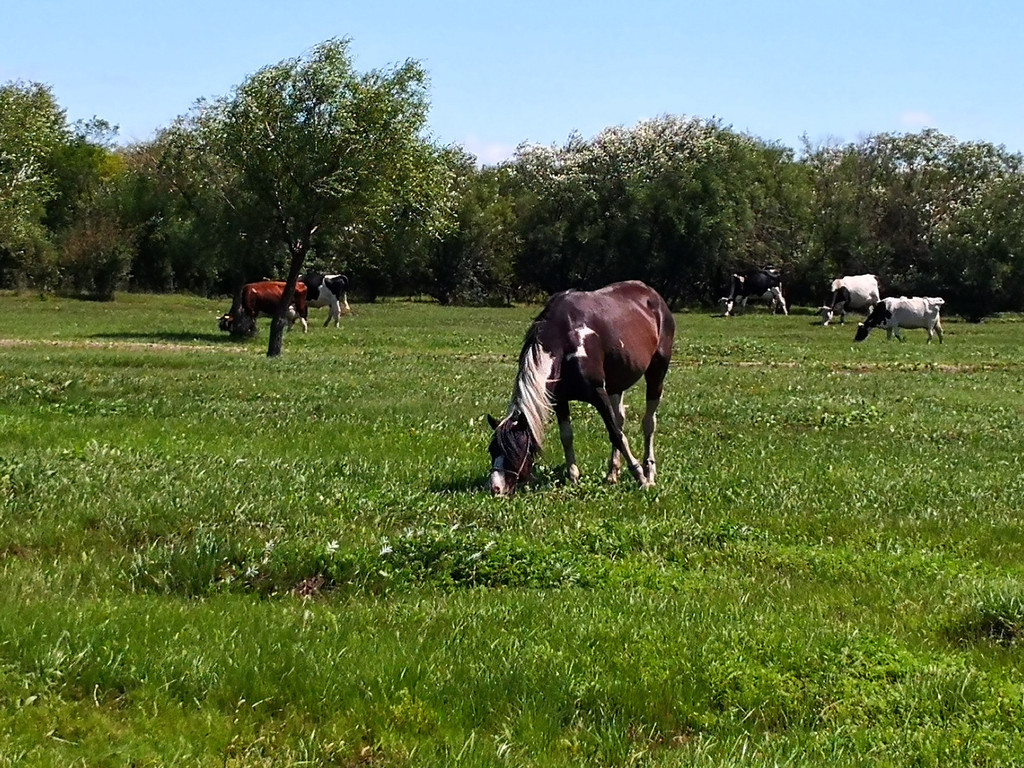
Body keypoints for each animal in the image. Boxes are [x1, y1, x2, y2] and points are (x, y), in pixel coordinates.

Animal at [485, 282, 675, 499]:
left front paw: (640, 477)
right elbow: (567, 436)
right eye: (492, 449)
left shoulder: (598, 393)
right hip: (616, 384)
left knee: (648, 422)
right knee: (620, 418)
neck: (566, 340)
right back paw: (612, 474)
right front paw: (574, 477)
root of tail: (652, 294)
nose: (495, 488)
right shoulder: (560, 399)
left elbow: (616, 435)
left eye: (514, 451)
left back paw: (649, 472)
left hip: (657, 372)